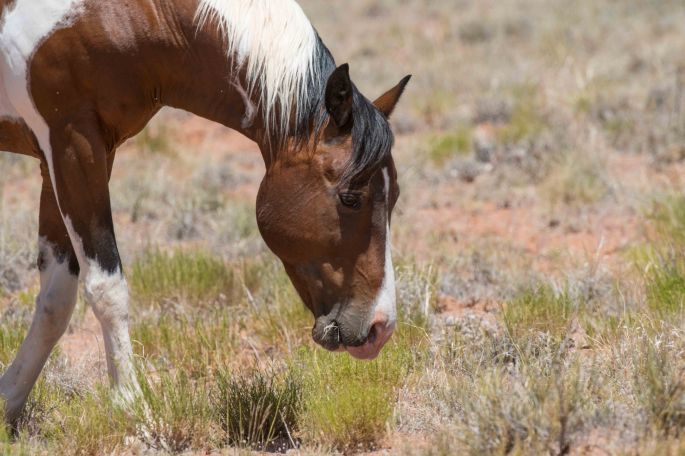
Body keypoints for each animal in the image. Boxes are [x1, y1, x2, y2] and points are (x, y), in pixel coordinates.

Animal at [0, 0, 410, 424]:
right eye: (351, 197)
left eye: (394, 196)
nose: (380, 327)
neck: (122, 14)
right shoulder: (72, 143)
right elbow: (105, 287)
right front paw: (132, 409)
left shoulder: (72, 155)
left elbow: (55, 298)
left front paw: (8, 402)